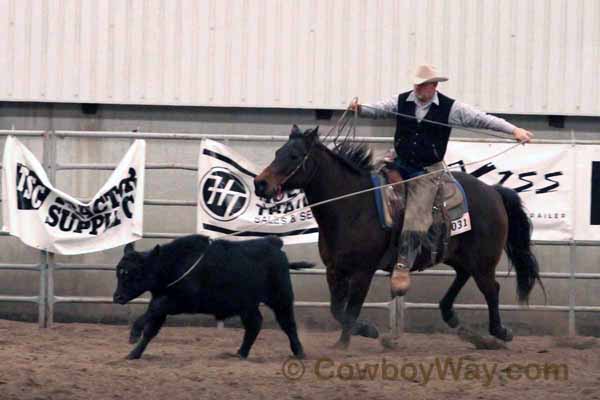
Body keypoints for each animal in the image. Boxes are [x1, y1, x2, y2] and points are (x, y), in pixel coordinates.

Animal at [253, 126, 544, 348]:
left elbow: (351, 309)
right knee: (462, 279)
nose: (260, 183)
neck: (353, 205)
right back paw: (458, 322)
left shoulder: (363, 271)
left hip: (484, 260)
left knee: (491, 289)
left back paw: (498, 333)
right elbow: (337, 310)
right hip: (460, 256)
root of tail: (494, 192)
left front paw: (353, 340)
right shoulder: (334, 270)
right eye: (277, 152)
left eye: (294, 155)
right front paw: (358, 335)